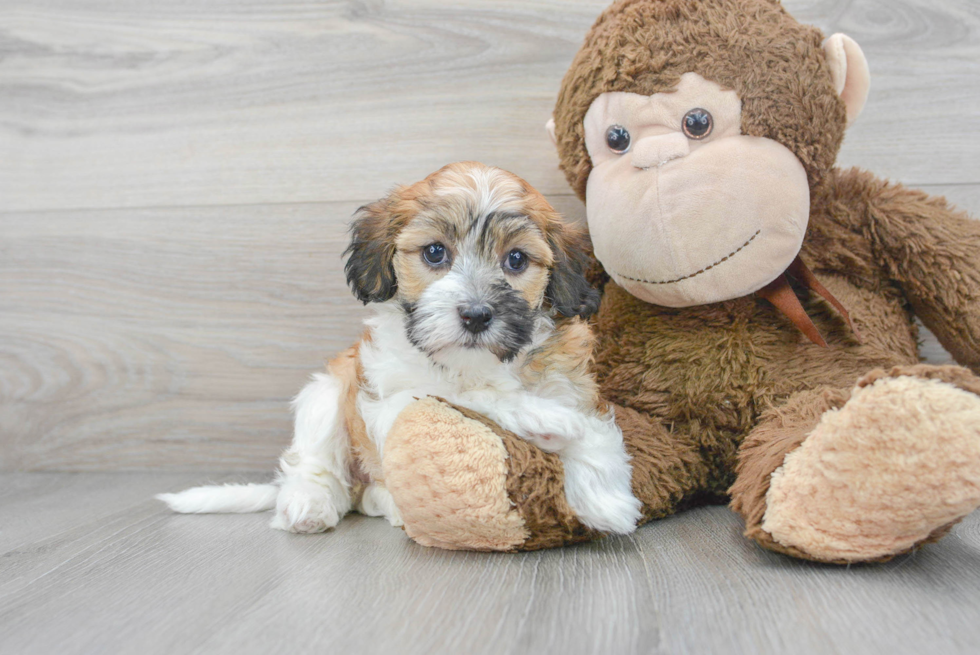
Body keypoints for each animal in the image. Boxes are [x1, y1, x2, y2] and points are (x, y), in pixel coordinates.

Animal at [161, 161, 644, 536]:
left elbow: (595, 432)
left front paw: (606, 500)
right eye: (434, 253)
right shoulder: (392, 400)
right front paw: (543, 419)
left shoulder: (569, 380)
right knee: (314, 464)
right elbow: (465, 396)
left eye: (516, 260)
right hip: (328, 391)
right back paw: (309, 504)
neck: (472, 363)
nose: (476, 315)